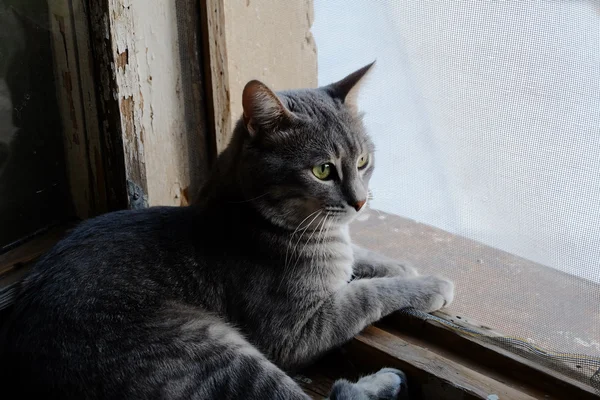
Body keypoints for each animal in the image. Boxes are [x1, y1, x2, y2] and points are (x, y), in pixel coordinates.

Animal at [0, 64, 452, 398]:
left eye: (362, 161)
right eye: (323, 170)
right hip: (214, 352)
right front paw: (429, 284)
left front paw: (400, 265)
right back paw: (383, 381)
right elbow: (366, 295)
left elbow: (363, 258)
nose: (360, 202)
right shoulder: (298, 331)